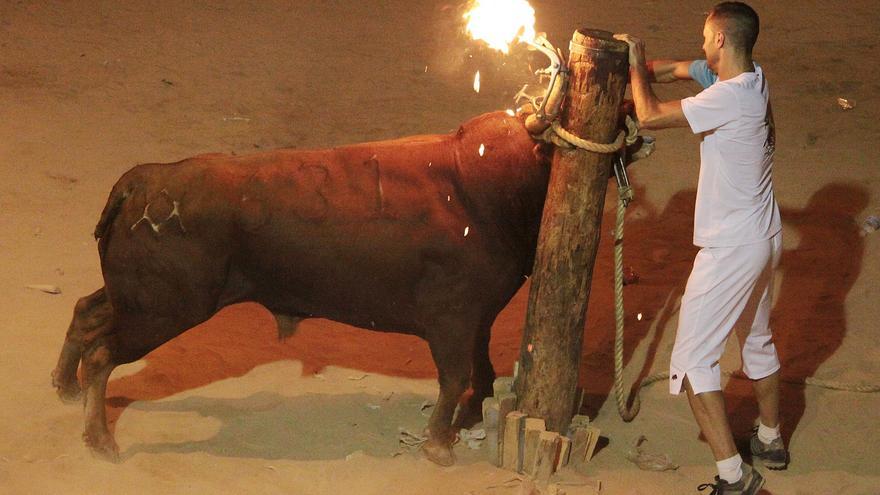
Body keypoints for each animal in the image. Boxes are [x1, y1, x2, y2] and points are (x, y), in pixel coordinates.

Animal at [49, 111, 556, 464]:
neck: (478, 189)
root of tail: (141, 182)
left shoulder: (478, 317)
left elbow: (481, 367)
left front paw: (465, 421)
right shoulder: (452, 318)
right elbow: (455, 376)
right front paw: (438, 445)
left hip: (136, 300)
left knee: (85, 311)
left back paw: (66, 387)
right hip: (163, 310)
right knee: (102, 352)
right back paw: (99, 440)